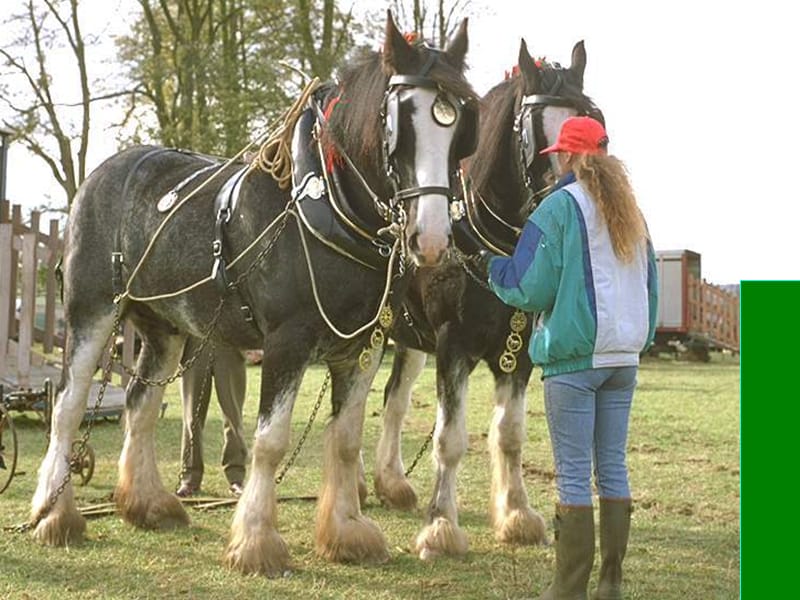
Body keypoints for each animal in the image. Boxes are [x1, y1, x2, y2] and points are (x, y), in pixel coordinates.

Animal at [31, 12, 478, 576]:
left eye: (459, 126)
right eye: (401, 122)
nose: (434, 238)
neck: (332, 207)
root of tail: (101, 174)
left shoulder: (363, 347)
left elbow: (346, 440)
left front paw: (347, 533)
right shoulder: (288, 341)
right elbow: (270, 442)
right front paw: (257, 542)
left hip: (165, 329)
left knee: (140, 404)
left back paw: (148, 504)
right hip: (91, 312)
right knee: (67, 408)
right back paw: (54, 514)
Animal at [372, 41, 604, 556]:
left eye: (592, 121)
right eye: (536, 134)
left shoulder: (518, 354)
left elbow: (510, 434)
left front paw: (516, 514)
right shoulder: (452, 345)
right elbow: (450, 438)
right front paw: (440, 525)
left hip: (409, 341)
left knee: (395, 399)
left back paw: (390, 482)